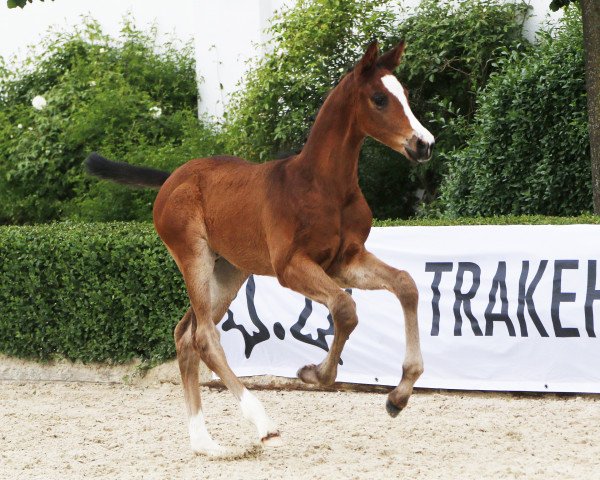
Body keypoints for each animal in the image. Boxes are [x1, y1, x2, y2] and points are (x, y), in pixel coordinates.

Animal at [85, 40, 432, 454]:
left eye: (406, 94)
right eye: (379, 99)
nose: (423, 144)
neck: (324, 186)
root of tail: (172, 178)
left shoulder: (345, 261)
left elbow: (405, 284)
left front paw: (398, 396)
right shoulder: (290, 267)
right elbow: (345, 309)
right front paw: (314, 374)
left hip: (229, 271)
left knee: (185, 334)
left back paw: (204, 442)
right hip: (194, 258)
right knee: (204, 337)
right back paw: (263, 424)